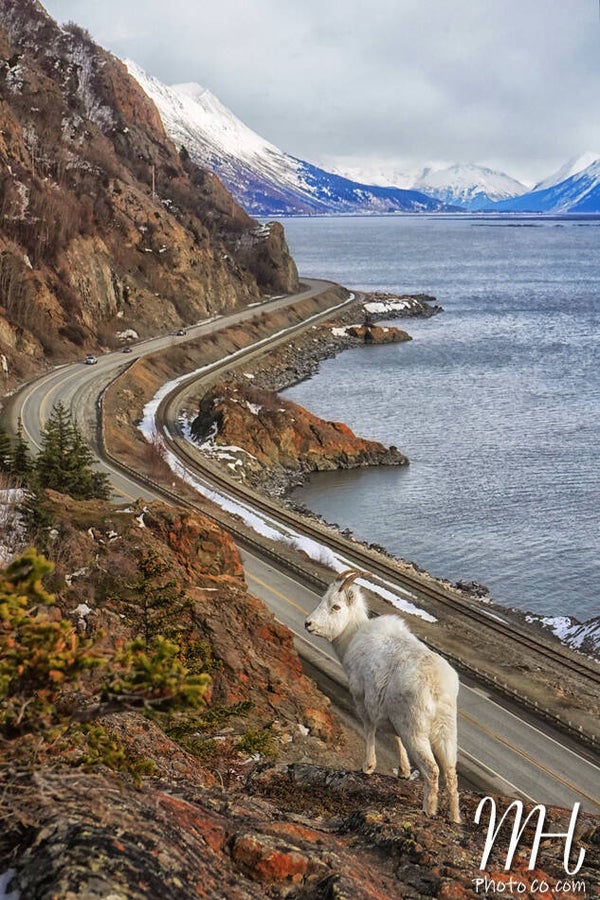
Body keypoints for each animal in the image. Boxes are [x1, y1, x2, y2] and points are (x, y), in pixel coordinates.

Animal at [305, 569, 461, 823]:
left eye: (336, 606)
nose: (308, 624)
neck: (352, 636)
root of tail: (437, 687)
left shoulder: (362, 700)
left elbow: (370, 729)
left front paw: (367, 767)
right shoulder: (389, 713)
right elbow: (395, 738)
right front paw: (404, 772)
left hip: (416, 732)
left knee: (432, 771)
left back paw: (428, 811)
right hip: (446, 733)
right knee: (450, 774)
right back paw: (455, 819)